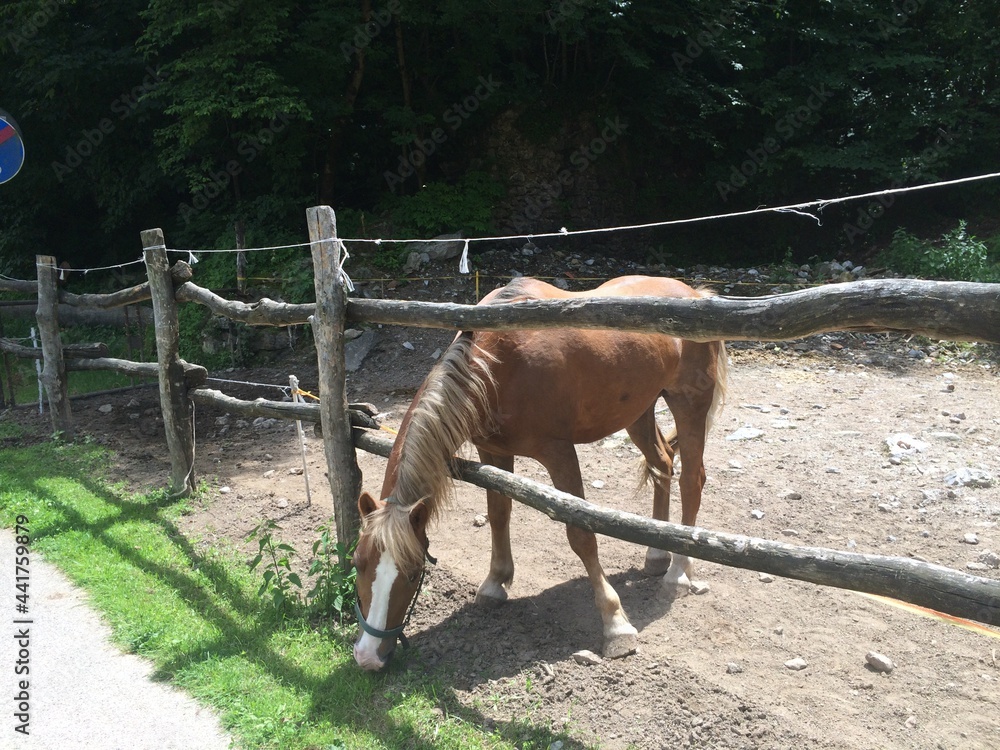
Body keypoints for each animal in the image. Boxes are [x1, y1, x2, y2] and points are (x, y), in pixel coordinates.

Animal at [352, 275, 728, 670]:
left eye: (412, 574)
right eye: (358, 562)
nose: (367, 657)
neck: (494, 364)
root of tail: (697, 294)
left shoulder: (558, 453)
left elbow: (581, 534)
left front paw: (615, 624)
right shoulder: (494, 452)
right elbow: (499, 515)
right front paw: (495, 583)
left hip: (689, 404)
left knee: (691, 480)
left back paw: (679, 572)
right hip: (639, 412)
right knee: (663, 465)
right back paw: (657, 556)